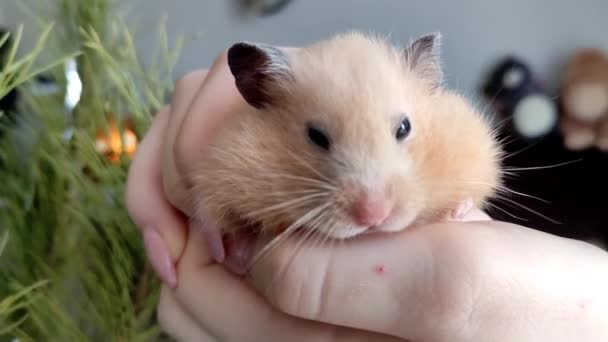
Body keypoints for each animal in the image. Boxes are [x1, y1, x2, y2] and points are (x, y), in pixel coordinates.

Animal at [190, 31, 504, 268]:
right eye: (316, 136)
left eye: (404, 127)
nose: (374, 217)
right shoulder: (224, 160)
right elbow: (209, 213)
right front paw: (227, 253)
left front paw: (457, 212)